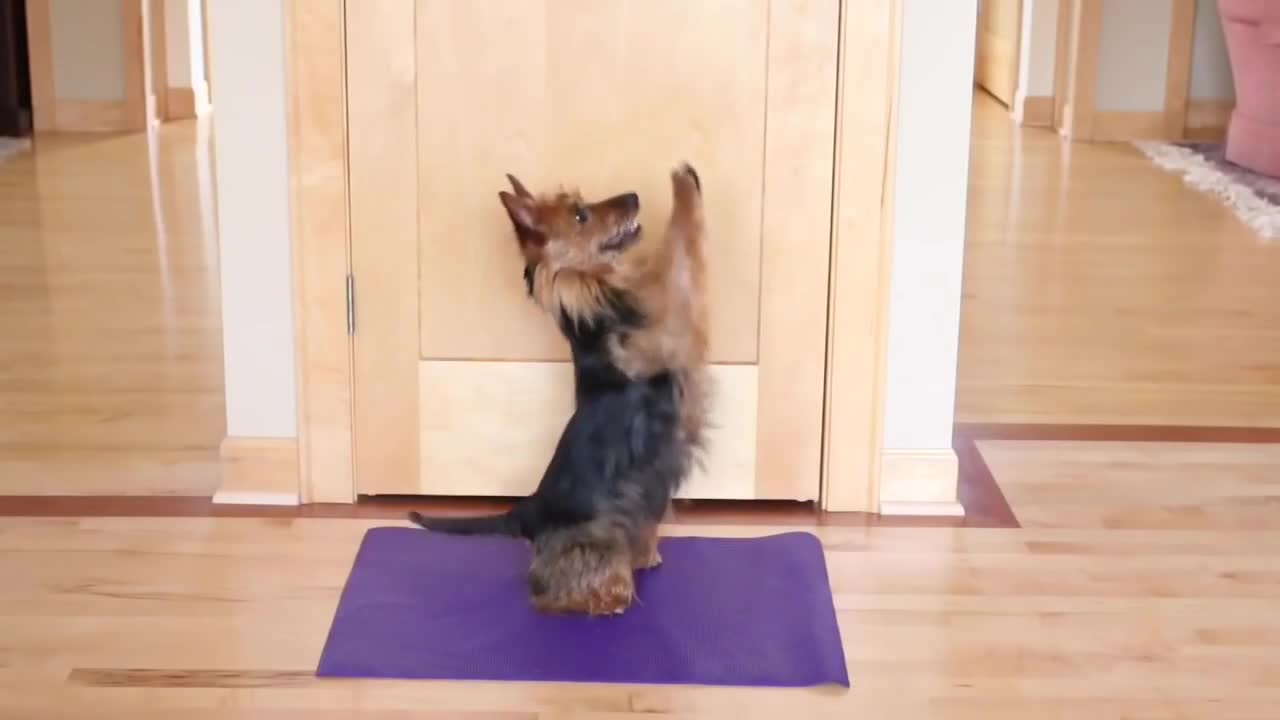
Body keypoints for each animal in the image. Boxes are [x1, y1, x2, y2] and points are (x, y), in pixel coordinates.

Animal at [409, 163, 711, 617]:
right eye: (581, 215)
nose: (634, 196)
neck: (590, 290)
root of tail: (529, 508)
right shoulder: (662, 331)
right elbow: (676, 256)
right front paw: (683, 185)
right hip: (592, 537)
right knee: (548, 589)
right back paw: (607, 596)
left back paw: (643, 554)